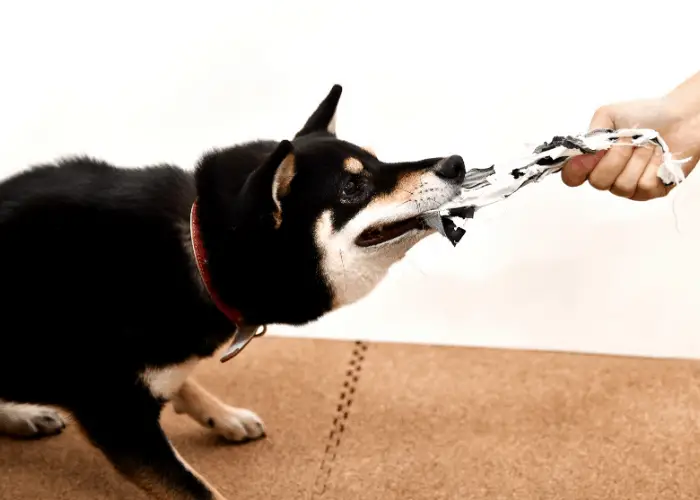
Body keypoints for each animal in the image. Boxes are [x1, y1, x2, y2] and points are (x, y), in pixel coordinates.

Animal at [0, 84, 464, 498]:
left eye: (379, 160)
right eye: (353, 187)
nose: (456, 163)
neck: (198, 252)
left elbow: (183, 383)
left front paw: (222, 416)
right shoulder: (117, 416)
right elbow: (197, 489)